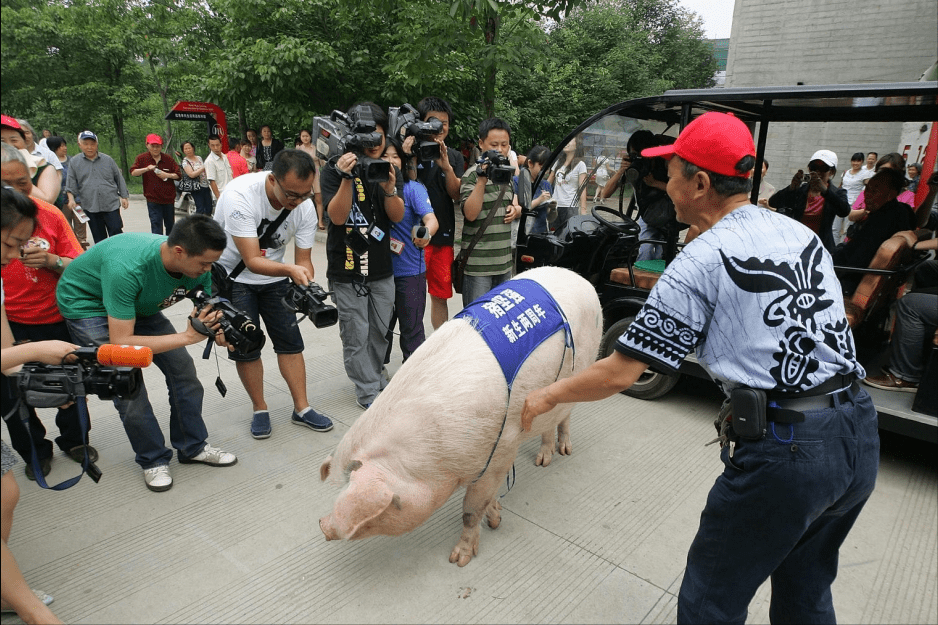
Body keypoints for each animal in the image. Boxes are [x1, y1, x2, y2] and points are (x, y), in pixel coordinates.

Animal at [320, 266, 600, 568]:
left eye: (389, 505)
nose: (323, 526)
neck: (433, 455)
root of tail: (577, 276)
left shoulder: (500, 448)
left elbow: (470, 510)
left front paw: (459, 559)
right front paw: (496, 516)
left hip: (582, 371)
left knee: (565, 415)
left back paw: (561, 453)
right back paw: (542, 461)